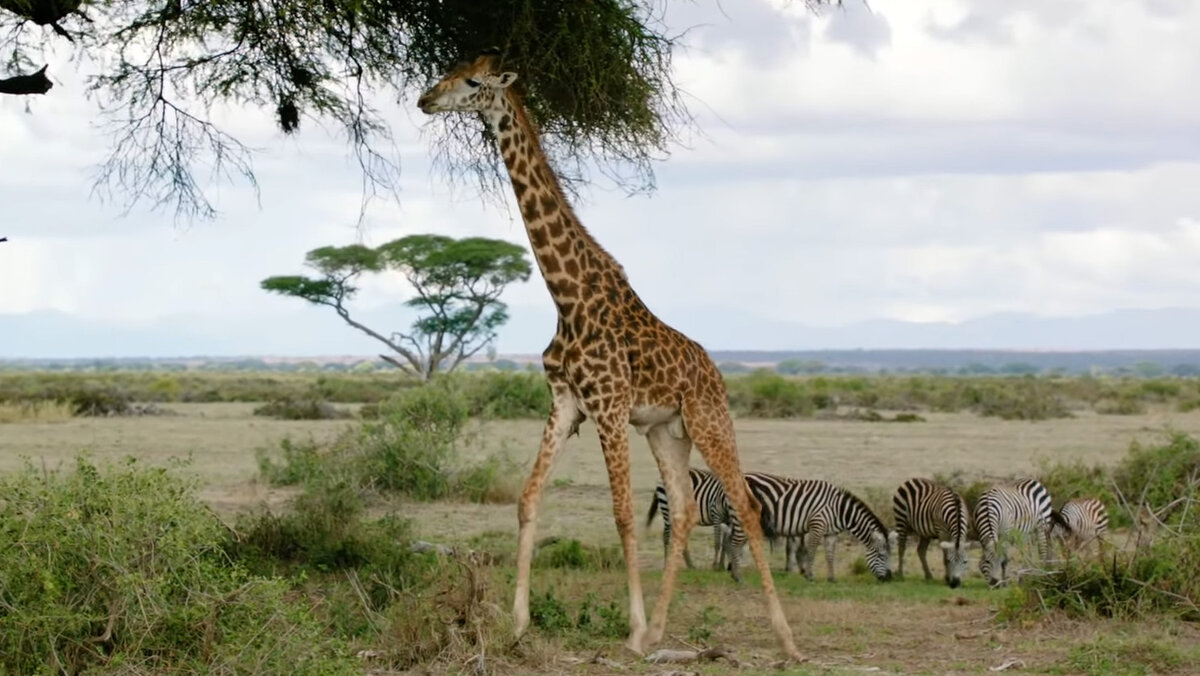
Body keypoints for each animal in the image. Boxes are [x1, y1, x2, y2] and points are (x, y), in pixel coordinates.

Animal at [417, 51, 801, 662]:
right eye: (448, 71)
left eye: (473, 82)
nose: (426, 99)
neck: (567, 297)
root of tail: (715, 370)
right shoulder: (566, 403)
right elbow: (528, 499)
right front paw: (518, 622)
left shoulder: (609, 404)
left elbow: (621, 513)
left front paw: (631, 629)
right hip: (666, 431)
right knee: (685, 508)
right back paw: (663, 630)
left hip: (709, 420)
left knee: (745, 505)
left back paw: (783, 639)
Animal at [724, 473, 897, 583]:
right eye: (882, 556)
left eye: (890, 555)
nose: (889, 579)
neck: (839, 510)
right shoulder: (817, 525)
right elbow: (811, 551)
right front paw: (809, 576)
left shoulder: (831, 533)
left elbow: (830, 555)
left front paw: (831, 579)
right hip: (742, 517)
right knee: (734, 544)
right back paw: (737, 577)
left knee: (735, 543)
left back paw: (736, 573)